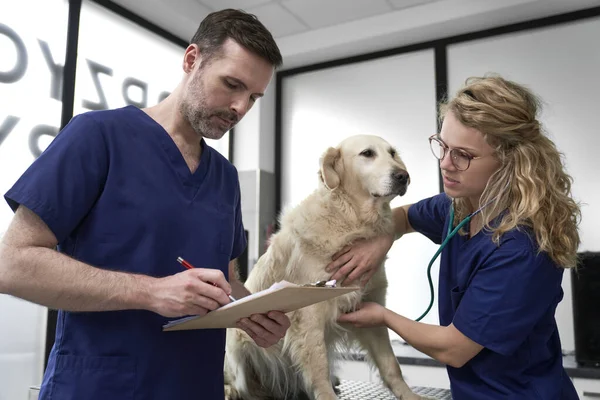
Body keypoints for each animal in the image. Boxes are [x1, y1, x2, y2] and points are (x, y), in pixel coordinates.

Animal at [224, 135, 422, 400]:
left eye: (392, 153)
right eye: (367, 153)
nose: (403, 176)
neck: (350, 219)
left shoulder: (373, 305)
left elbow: (391, 364)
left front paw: (410, 395)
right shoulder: (308, 314)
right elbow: (318, 366)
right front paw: (327, 394)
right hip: (237, 343)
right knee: (238, 382)